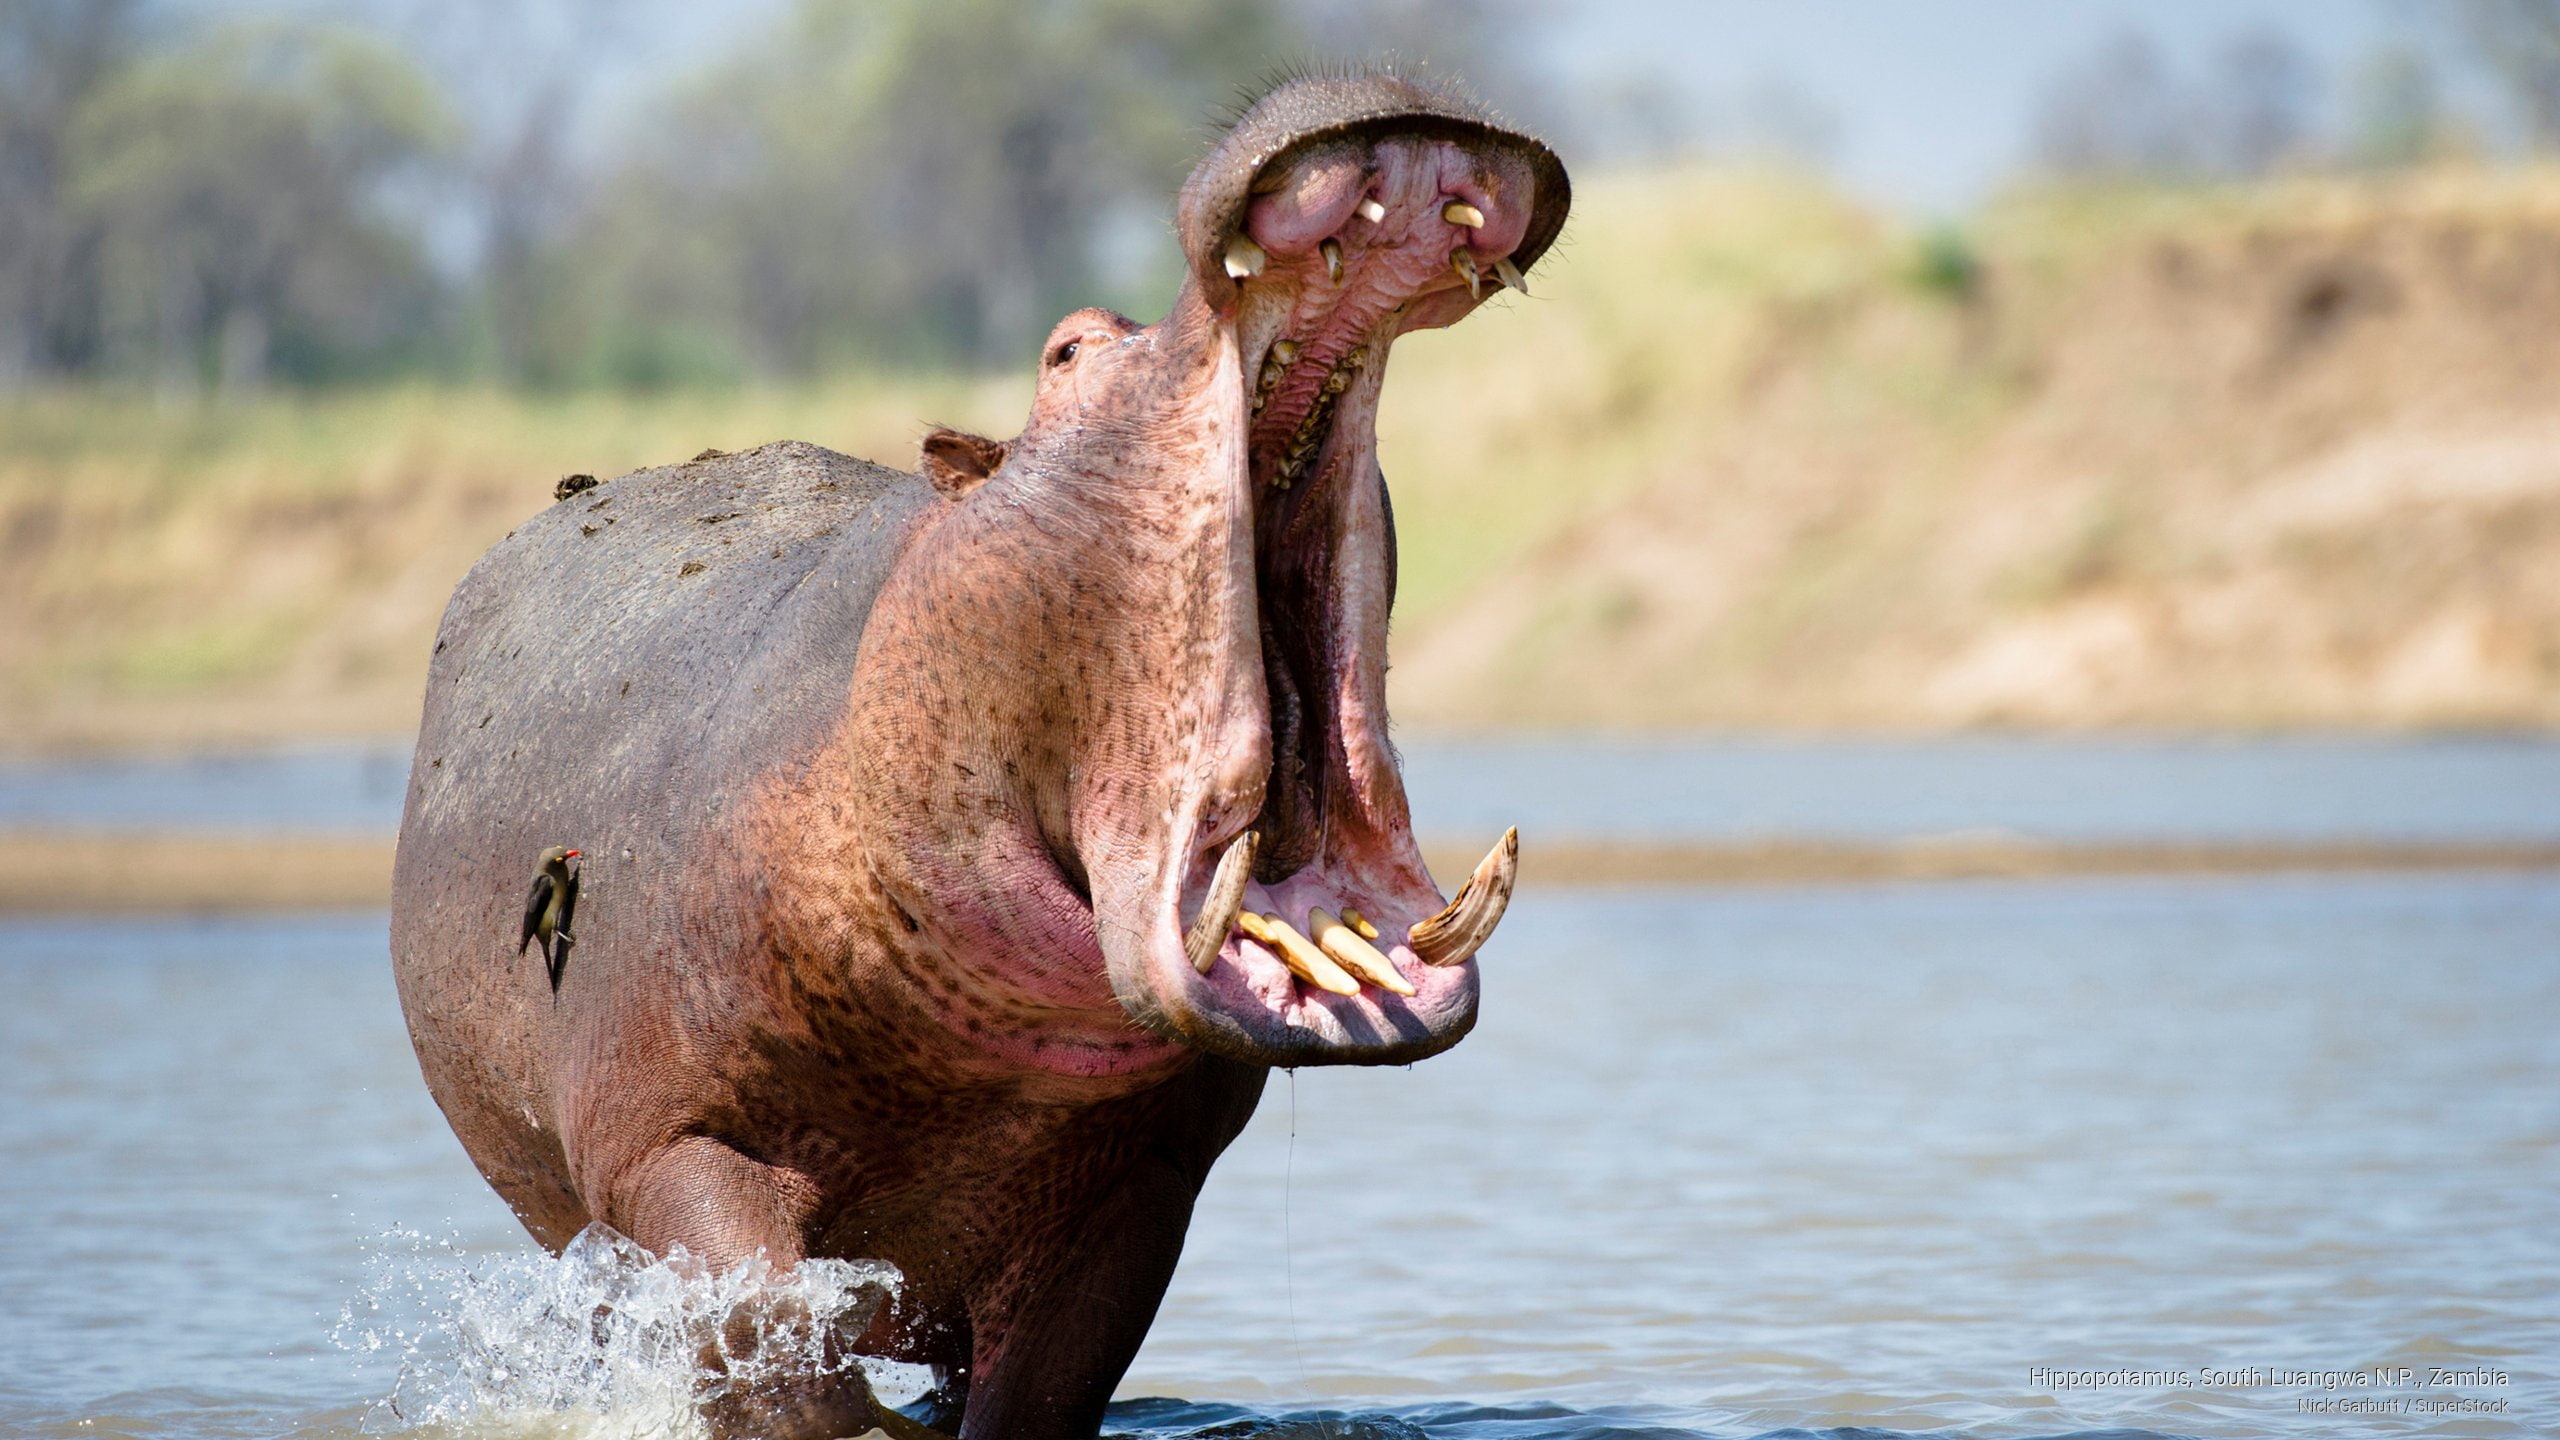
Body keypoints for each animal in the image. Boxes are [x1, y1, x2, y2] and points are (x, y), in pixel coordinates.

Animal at [390, 70, 1566, 1439]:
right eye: (1066, 349)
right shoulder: (662, 1148)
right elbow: (761, 1324)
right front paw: (848, 1401)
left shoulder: (1136, 1186)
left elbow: (1038, 1387)